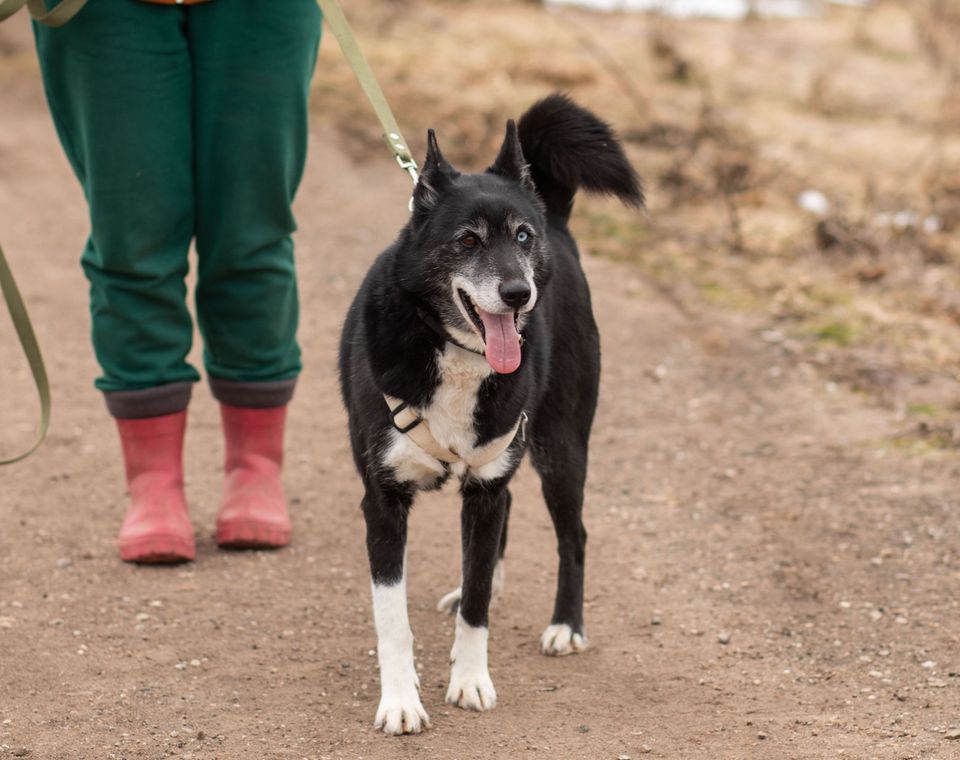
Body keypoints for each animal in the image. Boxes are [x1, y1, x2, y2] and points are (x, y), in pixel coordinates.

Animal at [338, 92, 644, 732]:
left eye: (521, 236)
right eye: (468, 240)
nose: (518, 294)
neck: (454, 350)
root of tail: (559, 220)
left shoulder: (485, 484)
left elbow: (477, 608)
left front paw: (471, 681)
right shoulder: (383, 501)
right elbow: (392, 618)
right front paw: (400, 701)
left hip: (561, 447)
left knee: (572, 534)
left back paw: (565, 625)